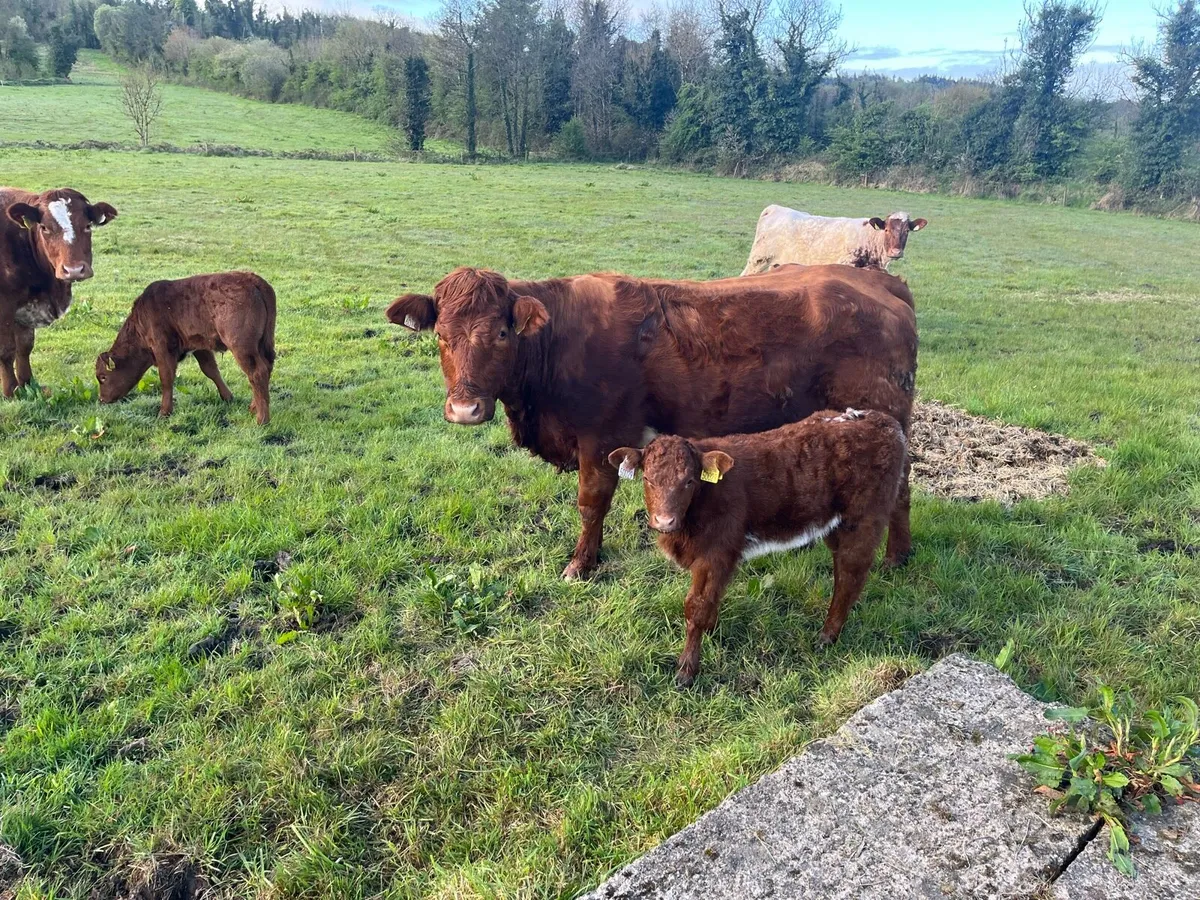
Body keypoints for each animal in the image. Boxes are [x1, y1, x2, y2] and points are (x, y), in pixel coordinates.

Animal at [1, 187, 118, 397]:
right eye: (44, 228)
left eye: (87, 226)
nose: (74, 270)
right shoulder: (5, 304)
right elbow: (6, 350)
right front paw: (10, 391)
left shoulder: (25, 305)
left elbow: (24, 346)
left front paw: (28, 384)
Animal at [95, 272, 277, 425]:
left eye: (103, 377)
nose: (102, 399)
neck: (142, 319)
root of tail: (253, 280)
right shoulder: (200, 347)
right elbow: (211, 370)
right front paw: (228, 397)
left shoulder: (162, 347)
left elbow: (166, 379)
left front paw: (164, 413)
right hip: (261, 344)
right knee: (266, 368)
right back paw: (253, 408)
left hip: (241, 347)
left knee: (257, 373)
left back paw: (262, 420)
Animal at [386, 264, 918, 581]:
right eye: (442, 336)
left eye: (501, 333)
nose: (465, 410)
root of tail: (878, 283)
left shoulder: (602, 436)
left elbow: (591, 504)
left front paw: (581, 564)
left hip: (883, 418)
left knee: (901, 489)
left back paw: (897, 556)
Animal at [609, 408, 907, 686]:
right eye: (647, 479)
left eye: (689, 481)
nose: (664, 520)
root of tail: (882, 420)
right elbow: (712, 599)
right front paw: (712, 631)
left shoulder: (716, 552)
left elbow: (696, 607)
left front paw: (686, 670)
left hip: (863, 518)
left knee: (851, 573)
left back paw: (827, 635)